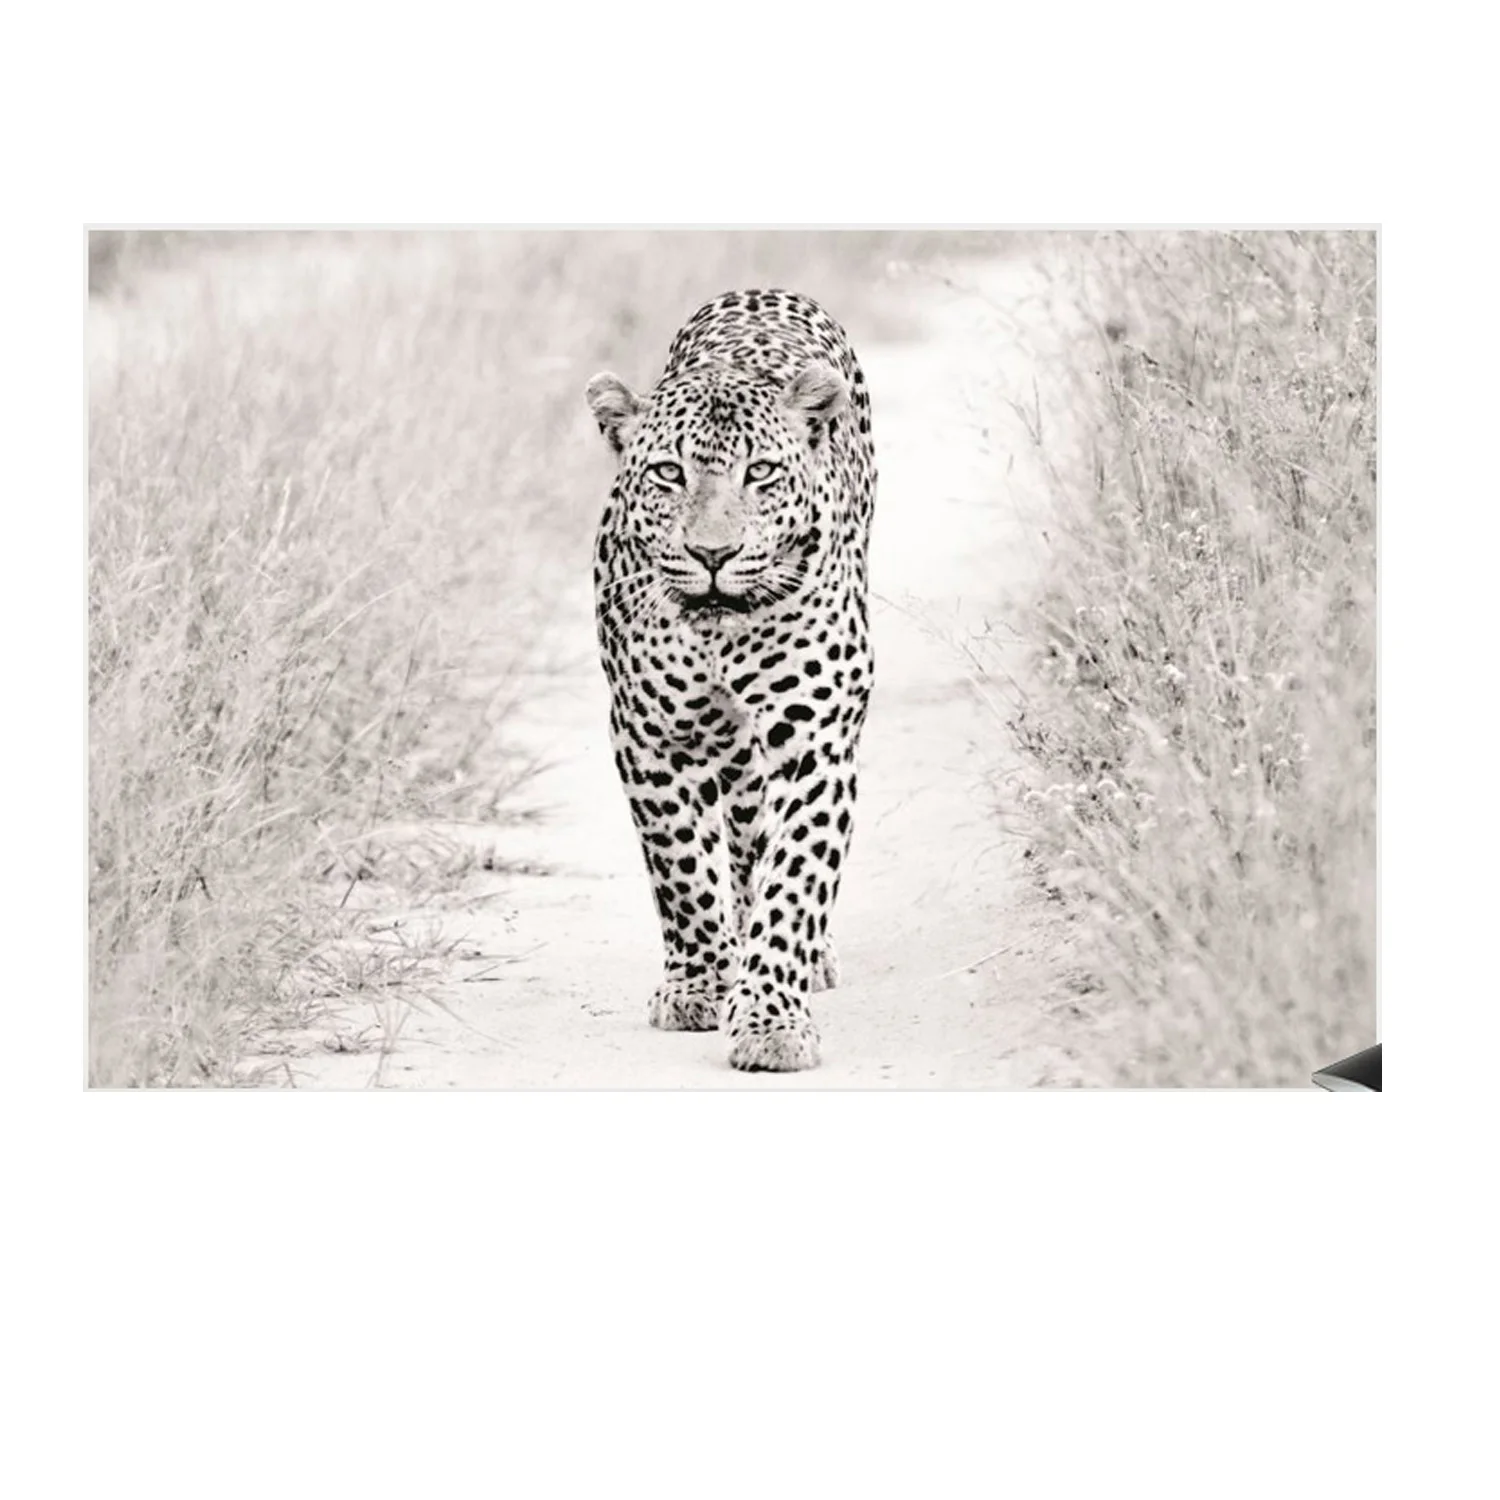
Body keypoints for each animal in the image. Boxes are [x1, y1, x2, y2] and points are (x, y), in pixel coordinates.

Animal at [585, 288, 876, 1072]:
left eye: (762, 473)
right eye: (668, 474)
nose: (712, 554)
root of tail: (762, 290)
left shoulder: (815, 739)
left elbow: (796, 877)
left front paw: (773, 1019)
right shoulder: (648, 735)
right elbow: (681, 869)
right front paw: (699, 986)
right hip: (728, 745)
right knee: (741, 827)